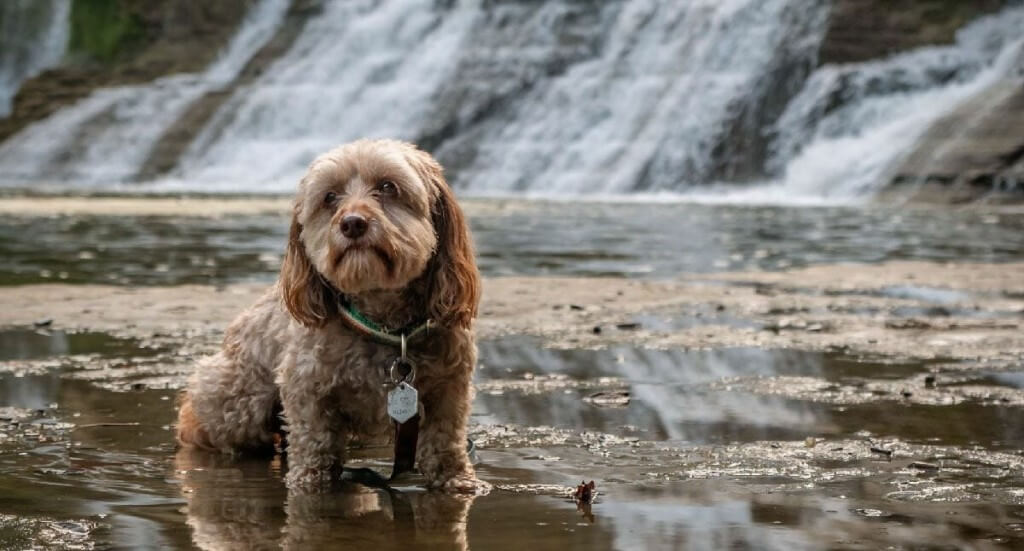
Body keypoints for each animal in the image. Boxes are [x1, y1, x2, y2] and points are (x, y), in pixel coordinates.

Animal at [174, 138, 485, 493]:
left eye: (388, 187)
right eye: (330, 197)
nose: (352, 223)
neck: (385, 326)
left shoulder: (450, 388)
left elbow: (445, 439)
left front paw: (457, 480)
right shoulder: (306, 388)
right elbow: (314, 440)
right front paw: (310, 481)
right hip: (236, 405)